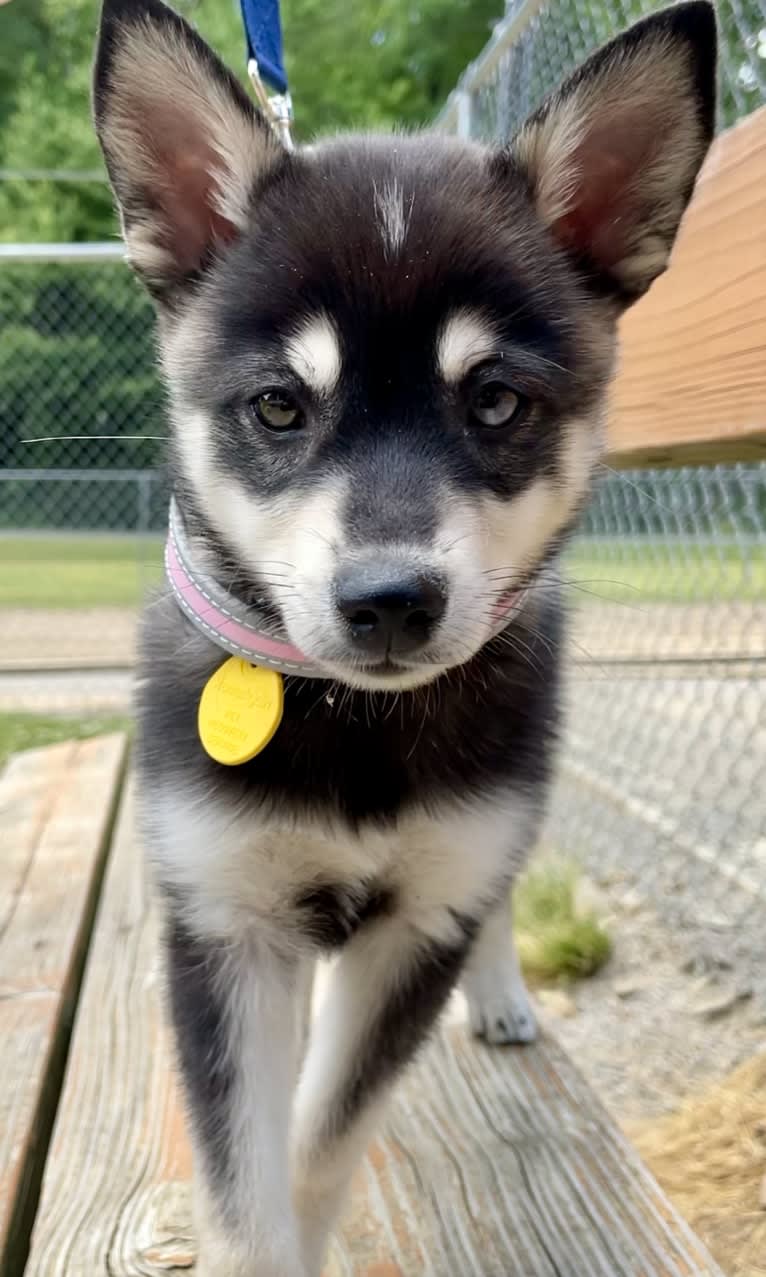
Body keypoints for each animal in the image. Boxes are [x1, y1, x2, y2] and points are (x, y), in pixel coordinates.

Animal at [92, 4, 714, 1271]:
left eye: (496, 401)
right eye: (279, 405)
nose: (389, 601)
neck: (355, 719)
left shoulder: (422, 919)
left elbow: (326, 1138)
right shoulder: (225, 919)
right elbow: (244, 1180)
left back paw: (501, 990)